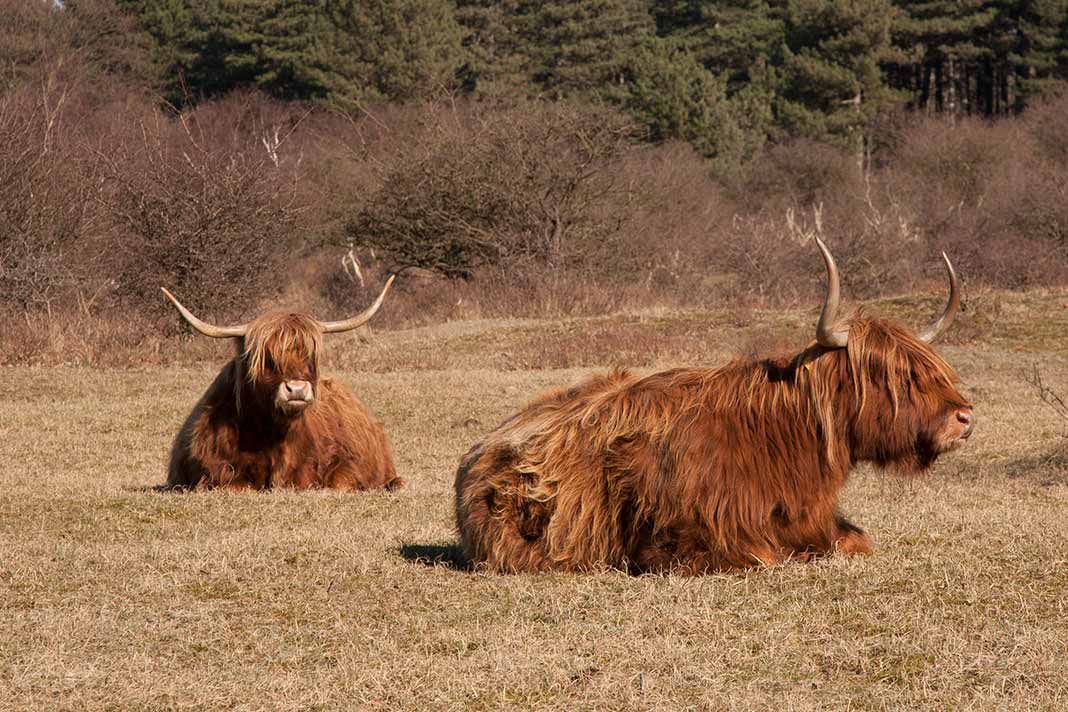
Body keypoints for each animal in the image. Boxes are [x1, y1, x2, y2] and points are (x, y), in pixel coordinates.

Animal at [164, 279, 401, 495]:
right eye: (268, 358)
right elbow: (238, 485)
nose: (296, 389)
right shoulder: (214, 470)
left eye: (309, 357)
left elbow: (339, 482)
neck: (273, 434)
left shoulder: (345, 461)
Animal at [454, 242, 974, 576]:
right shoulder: (698, 535)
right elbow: (766, 557)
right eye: (896, 376)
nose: (964, 417)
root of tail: (479, 451)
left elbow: (857, 542)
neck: (782, 436)